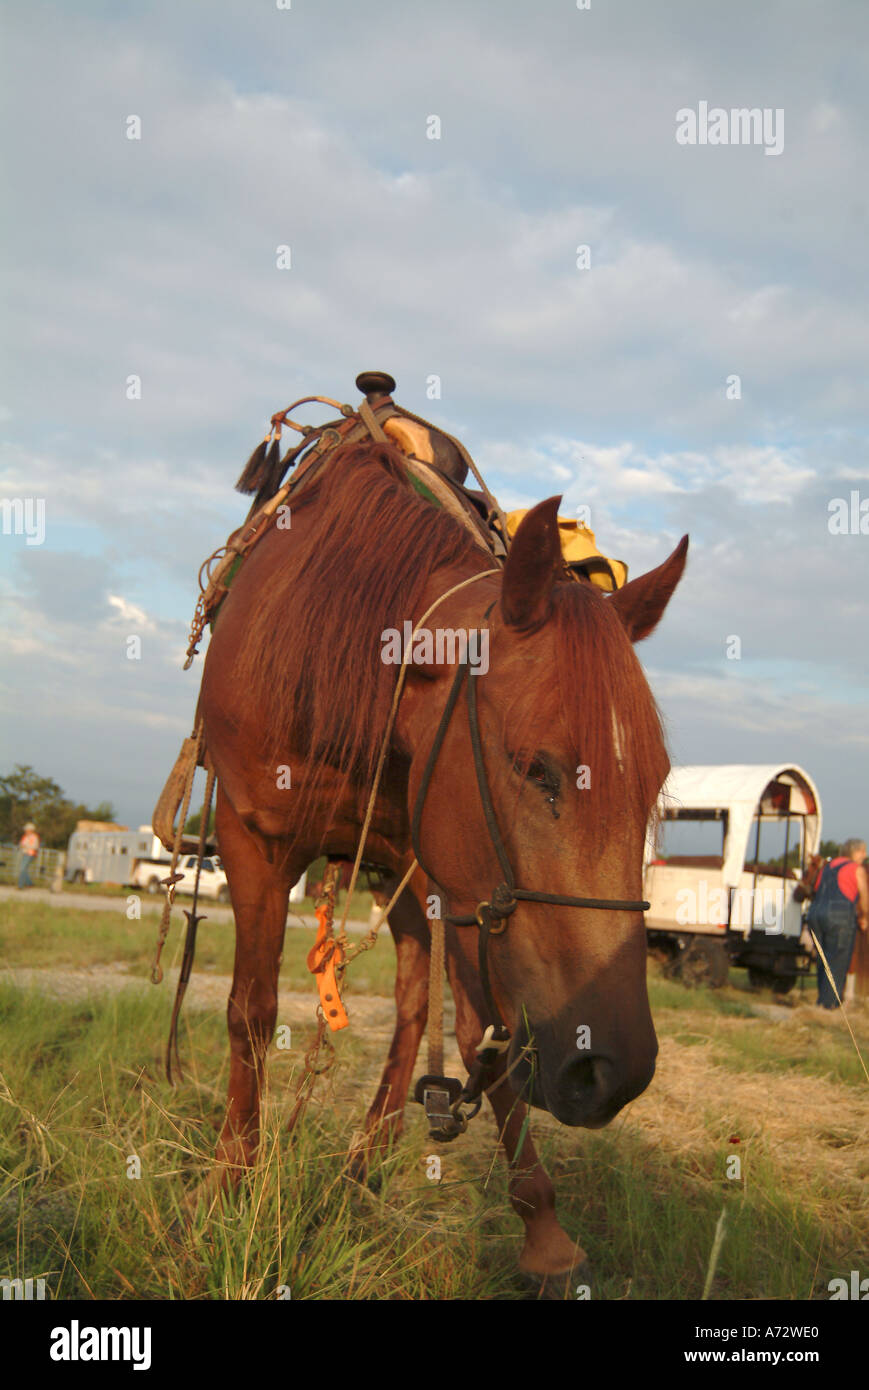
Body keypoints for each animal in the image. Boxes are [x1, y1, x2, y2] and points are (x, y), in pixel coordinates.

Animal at [195, 436, 688, 1286]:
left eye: (651, 784)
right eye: (536, 768)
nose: (612, 1071)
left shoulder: (456, 885)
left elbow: (482, 1037)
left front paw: (542, 1231)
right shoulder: (250, 841)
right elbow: (250, 1014)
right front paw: (231, 1184)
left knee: (422, 1009)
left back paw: (368, 1157)